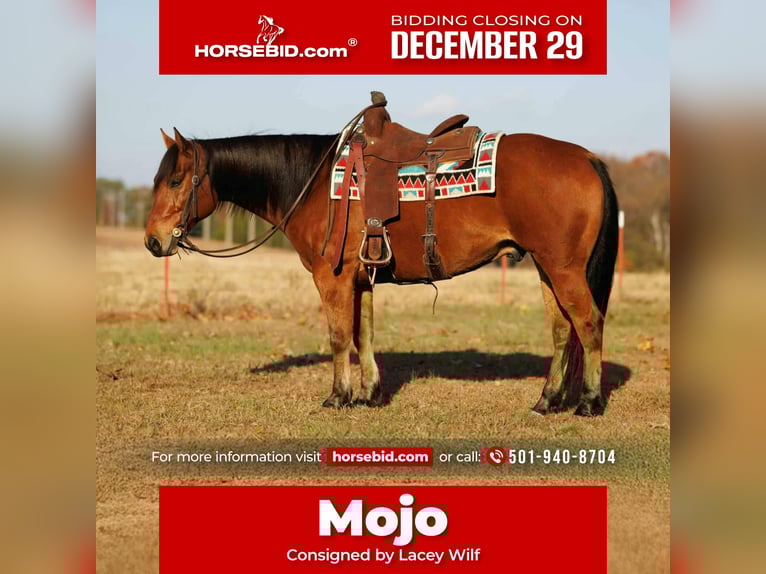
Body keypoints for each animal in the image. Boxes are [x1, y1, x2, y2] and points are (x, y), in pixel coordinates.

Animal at [144, 106, 618, 417]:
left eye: (175, 180)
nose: (152, 241)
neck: (313, 184)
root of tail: (587, 157)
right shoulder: (362, 280)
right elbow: (364, 335)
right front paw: (369, 394)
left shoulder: (332, 279)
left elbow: (339, 337)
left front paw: (338, 396)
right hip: (546, 267)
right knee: (562, 331)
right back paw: (546, 401)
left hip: (563, 269)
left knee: (589, 323)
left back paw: (589, 402)